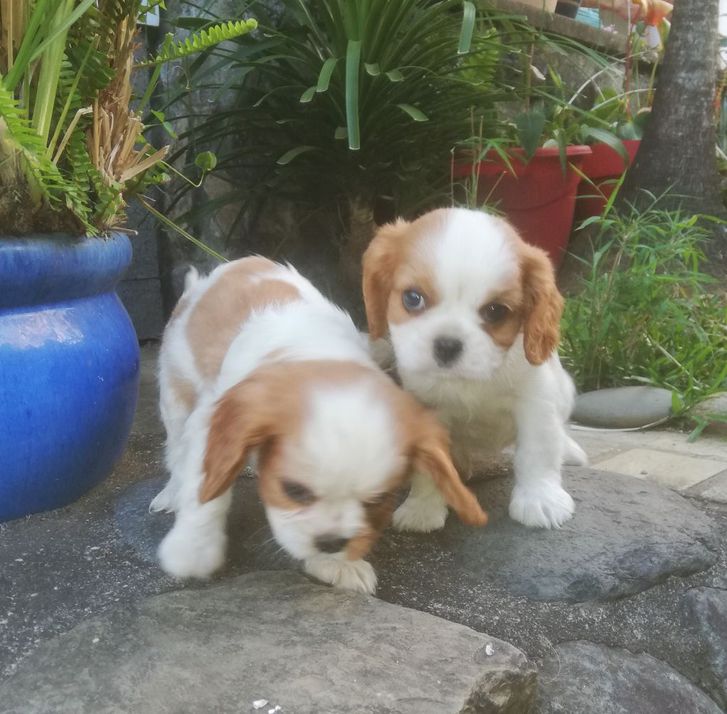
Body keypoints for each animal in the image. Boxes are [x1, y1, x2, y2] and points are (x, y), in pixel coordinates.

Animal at [150, 254, 486, 588]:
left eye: (376, 500)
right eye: (294, 491)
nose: (331, 542)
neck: (314, 354)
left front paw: (336, 564)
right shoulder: (211, 422)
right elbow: (205, 490)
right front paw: (191, 550)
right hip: (175, 392)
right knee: (176, 451)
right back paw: (171, 494)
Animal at [362, 204, 588, 528]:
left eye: (495, 311)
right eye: (412, 298)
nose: (446, 345)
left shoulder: (537, 400)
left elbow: (538, 449)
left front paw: (540, 500)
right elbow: (430, 464)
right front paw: (422, 509)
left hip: (565, 390)